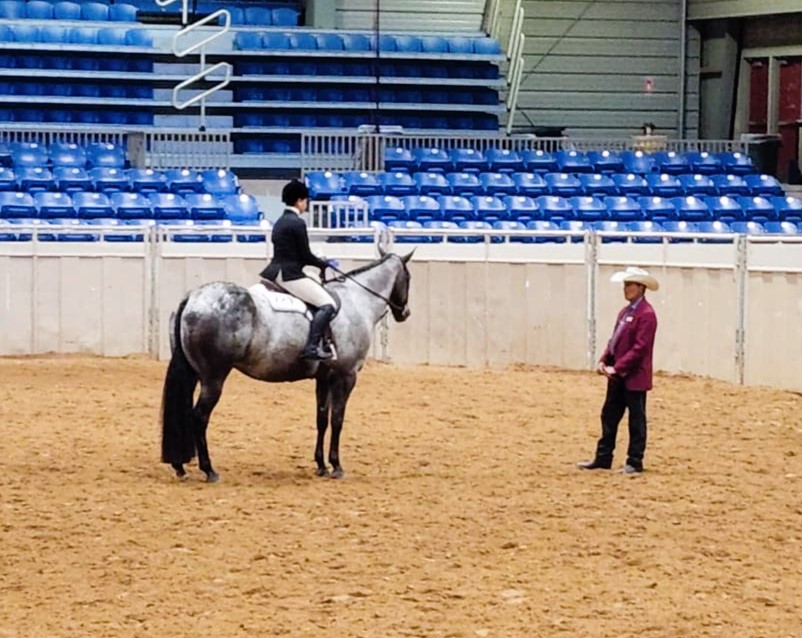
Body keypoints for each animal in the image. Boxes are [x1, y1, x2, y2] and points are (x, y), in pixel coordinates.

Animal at [161, 250, 412, 484]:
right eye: (408, 277)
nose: (405, 313)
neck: (357, 302)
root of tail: (193, 297)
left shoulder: (324, 378)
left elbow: (322, 419)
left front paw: (321, 466)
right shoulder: (346, 376)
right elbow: (337, 420)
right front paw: (336, 466)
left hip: (194, 374)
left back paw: (179, 466)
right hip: (213, 378)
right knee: (199, 417)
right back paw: (209, 470)